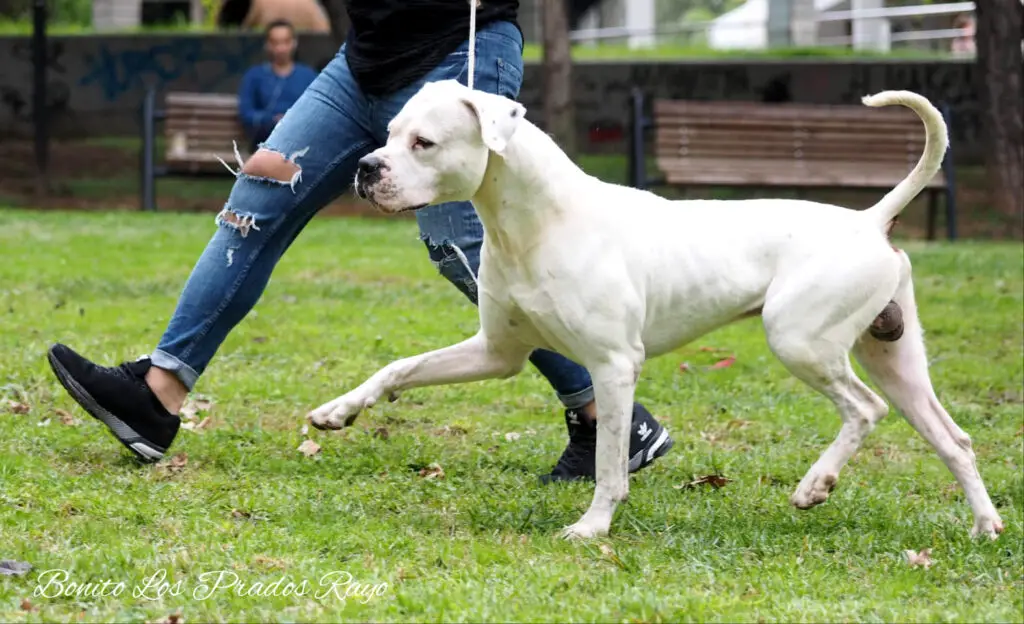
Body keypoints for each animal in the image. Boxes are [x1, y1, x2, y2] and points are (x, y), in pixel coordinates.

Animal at [307, 80, 1003, 541]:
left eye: (424, 142)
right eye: (387, 135)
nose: (365, 168)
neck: (538, 221)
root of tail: (870, 219)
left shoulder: (614, 368)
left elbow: (611, 465)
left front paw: (591, 528)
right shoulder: (496, 353)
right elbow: (398, 368)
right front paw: (338, 411)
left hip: (800, 341)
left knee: (865, 409)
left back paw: (815, 486)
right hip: (895, 361)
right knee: (953, 439)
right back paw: (985, 525)